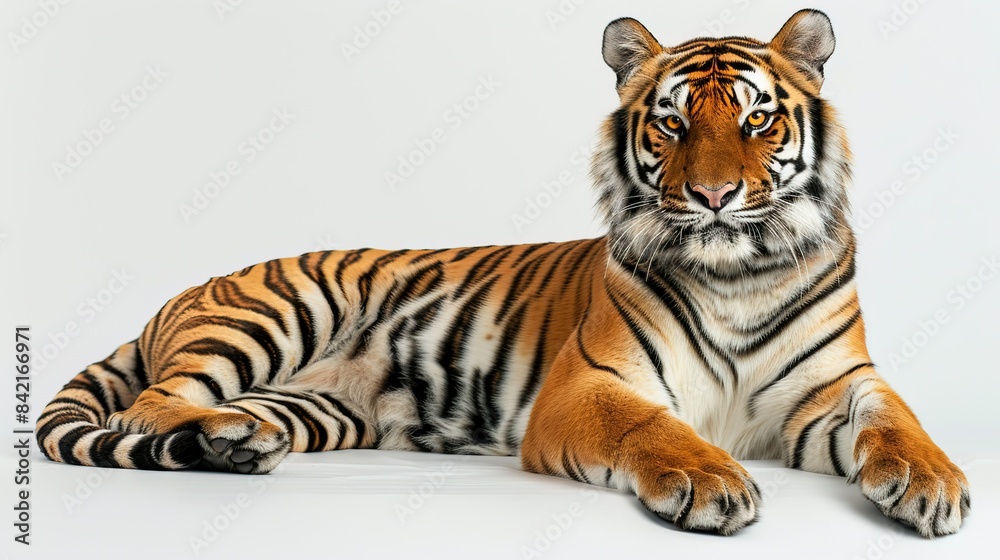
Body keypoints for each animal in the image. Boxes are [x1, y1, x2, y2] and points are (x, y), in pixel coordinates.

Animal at [37, 9, 970, 537]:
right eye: (671, 124)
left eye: (756, 121)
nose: (712, 196)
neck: (739, 276)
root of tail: (177, 296)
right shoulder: (588, 386)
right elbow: (656, 430)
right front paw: (709, 480)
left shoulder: (831, 388)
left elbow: (899, 419)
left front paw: (934, 484)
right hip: (274, 310)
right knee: (153, 405)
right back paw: (222, 434)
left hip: (317, 407)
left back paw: (235, 447)